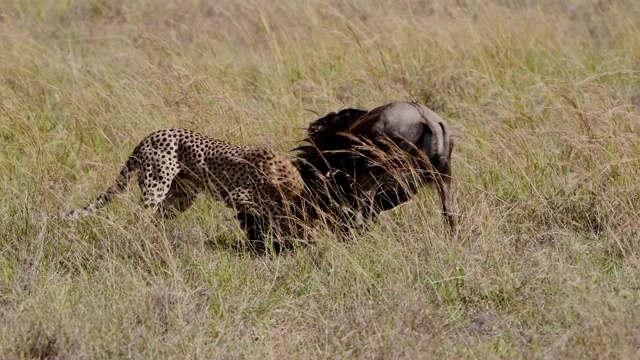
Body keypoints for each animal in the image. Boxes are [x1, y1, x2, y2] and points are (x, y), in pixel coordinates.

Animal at [61, 129, 306, 245]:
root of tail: (150, 136)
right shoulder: (237, 195)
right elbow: (271, 209)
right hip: (156, 185)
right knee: (139, 217)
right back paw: (140, 240)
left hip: (181, 197)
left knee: (157, 217)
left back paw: (160, 241)